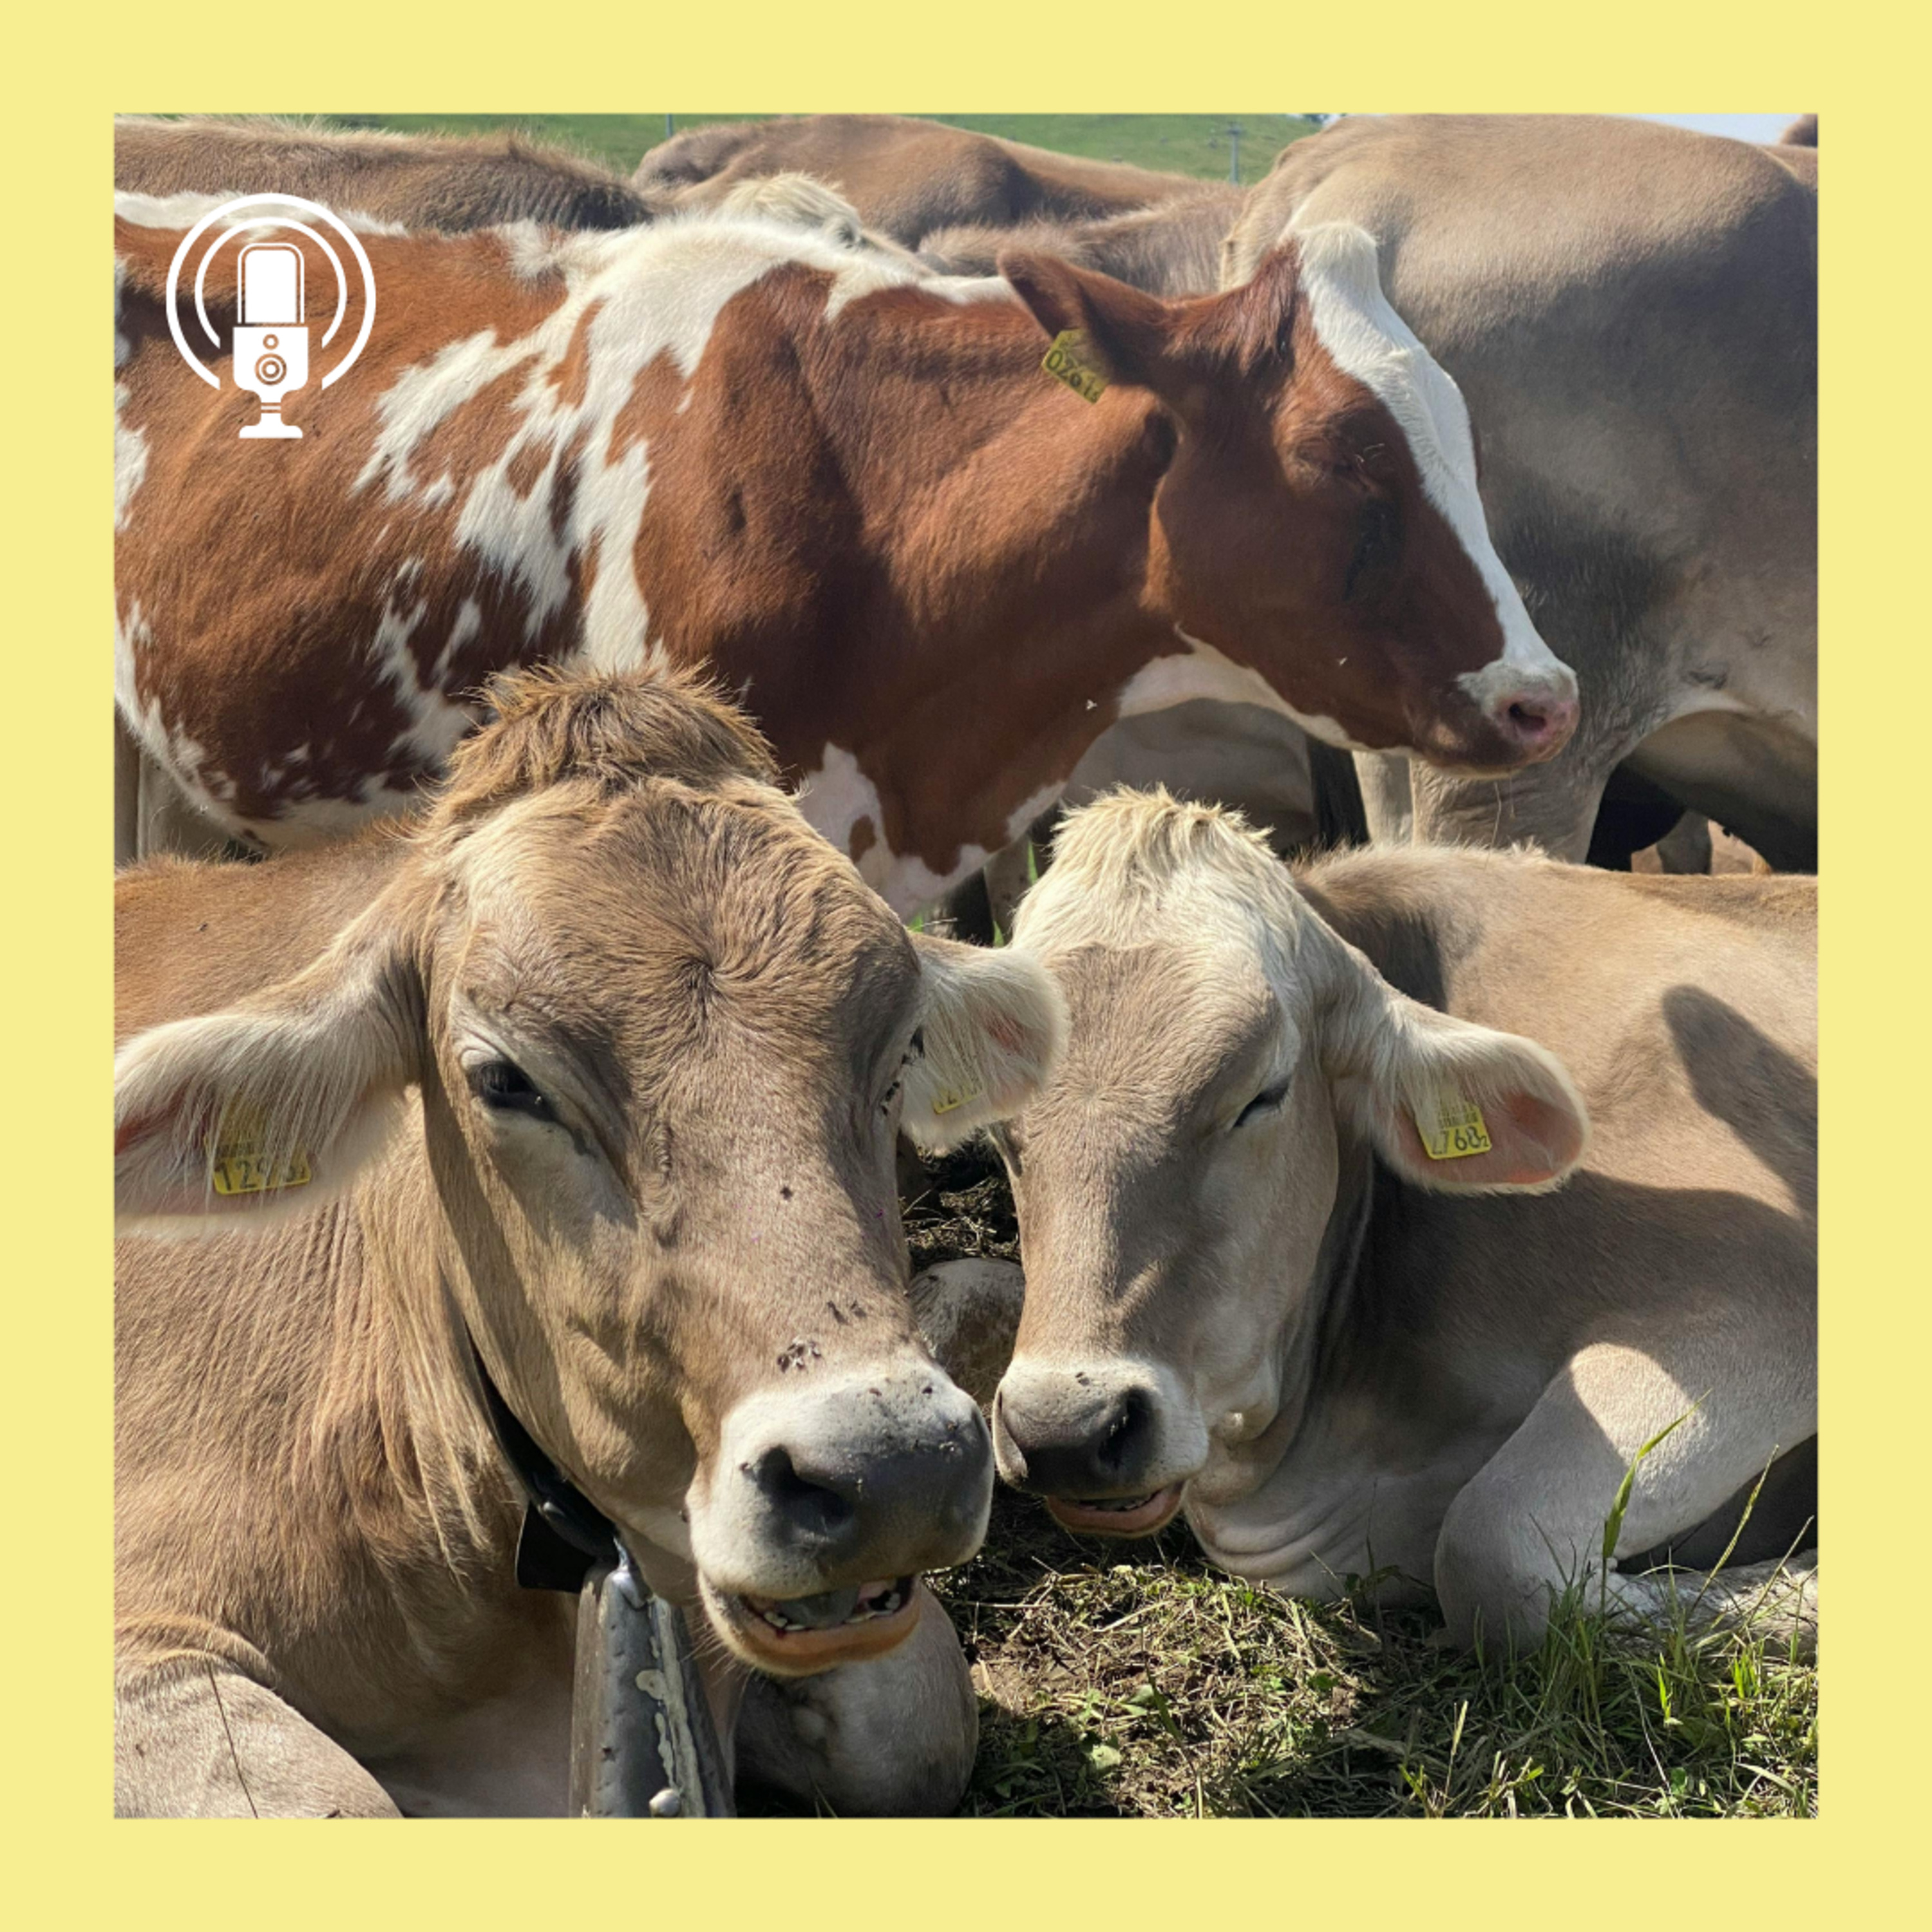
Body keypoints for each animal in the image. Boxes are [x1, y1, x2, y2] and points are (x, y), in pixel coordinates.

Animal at [988, 789, 1816, 1651]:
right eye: (999, 1126)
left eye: (1263, 1093)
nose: (1067, 1430)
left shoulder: (1767, 1294)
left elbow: (1492, 1546)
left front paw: (1804, 1590)